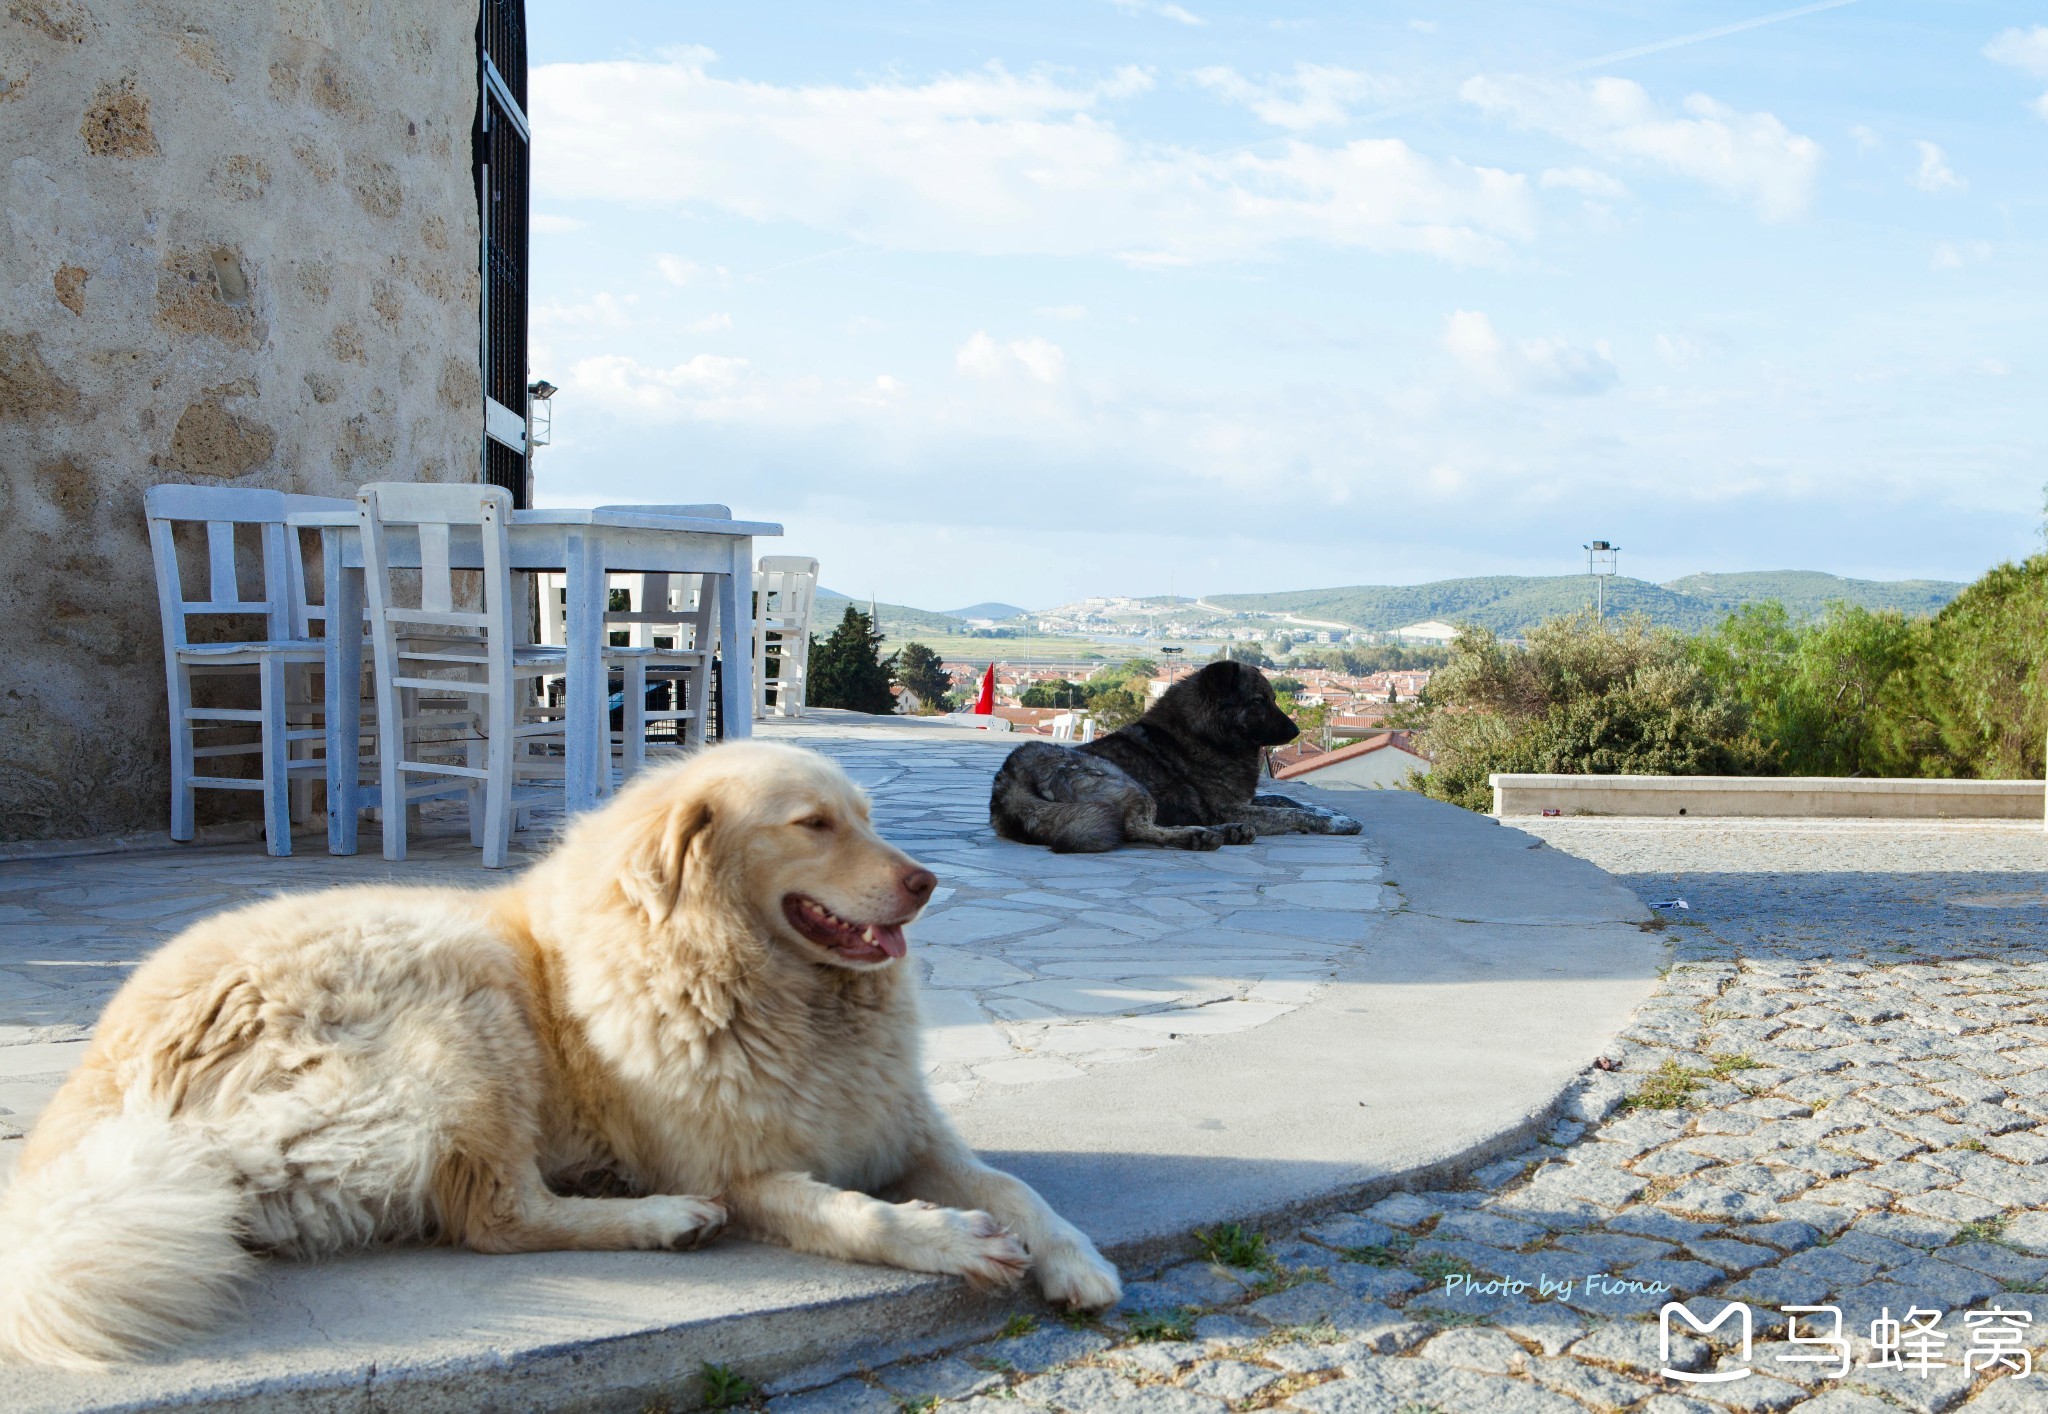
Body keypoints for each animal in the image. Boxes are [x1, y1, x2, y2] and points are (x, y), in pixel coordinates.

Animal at [0, 741, 1122, 1360]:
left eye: (867, 819)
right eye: (812, 824)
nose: (928, 881)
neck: (761, 984)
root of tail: (94, 1088)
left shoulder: (906, 1129)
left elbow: (1018, 1186)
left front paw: (1077, 1259)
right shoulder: (739, 1167)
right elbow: (854, 1214)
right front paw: (950, 1242)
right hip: (462, 1004)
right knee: (496, 1217)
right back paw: (662, 1222)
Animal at [987, 659, 1359, 848]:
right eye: (1259, 701)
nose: (1296, 731)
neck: (1206, 734)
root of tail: (1010, 778)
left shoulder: (1242, 802)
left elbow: (1288, 800)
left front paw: (1328, 810)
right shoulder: (1228, 807)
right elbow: (1292, 813)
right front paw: (1335, 822)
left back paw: (1229, 832)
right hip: (1127, 783)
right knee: (1136, 828)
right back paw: (1202, 836)